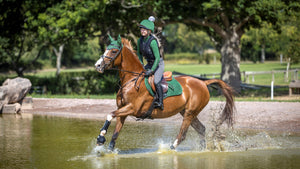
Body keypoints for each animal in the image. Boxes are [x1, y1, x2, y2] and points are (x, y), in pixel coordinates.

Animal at [94, 34, 234, 151]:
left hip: (190, 113)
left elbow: (110, 114)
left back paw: (170, 148)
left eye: (113, 51)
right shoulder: (122, 110)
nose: (97, 65)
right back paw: (202, 149)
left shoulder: (132, 108)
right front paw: (107, 148)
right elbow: (115, 133)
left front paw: (101, 137)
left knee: (183, 134)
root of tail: (203, 83)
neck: (131, 80)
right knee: (201, 129)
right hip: (187, 112)